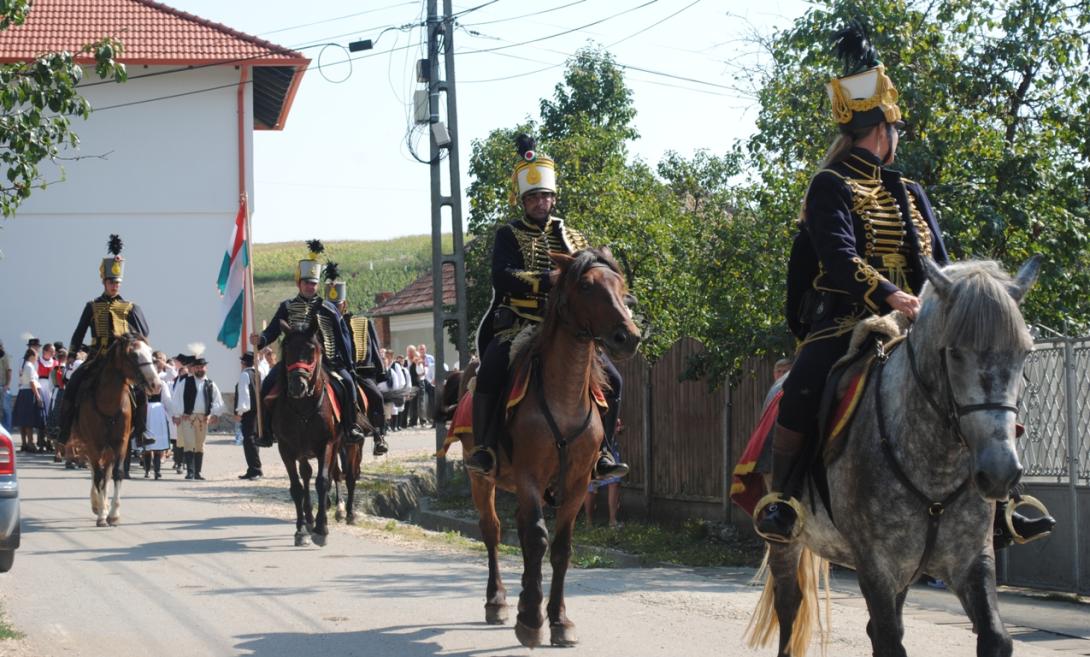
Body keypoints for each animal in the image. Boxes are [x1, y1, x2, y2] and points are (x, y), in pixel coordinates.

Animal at [69, 333, 159, 529]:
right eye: (133, 355)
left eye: (150, 352)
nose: (156, 384)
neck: (108, 402)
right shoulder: (93, 444)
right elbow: (98, 475)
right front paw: (102, 515)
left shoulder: (121, 442)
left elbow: (117, 473)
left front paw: (113, 514)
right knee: (96, 472)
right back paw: (97, 504)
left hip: (109, 448)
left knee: (107, 473)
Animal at [270, 320, 337, 546]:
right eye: (288, 350)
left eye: (311, 351)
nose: (298, 385)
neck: (304, 407)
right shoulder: (286, 449)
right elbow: (297, 488)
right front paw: (300, 530)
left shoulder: (327, 444)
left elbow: (322, 482)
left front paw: (322, 528)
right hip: (302, 452)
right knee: (305, 475)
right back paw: (308, 520)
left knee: (324, 476)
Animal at [451, 250, 636, 649]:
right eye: (587, 285)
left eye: (620, 285)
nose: (628, 336)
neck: (564, 395)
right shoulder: (529, 477)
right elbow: (537, 539)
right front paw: (532, 621)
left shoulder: (577, 483)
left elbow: (561, 547)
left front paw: (560, 620)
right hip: (482, 479)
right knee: (492, 530)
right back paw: (498, 601)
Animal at [749, 257, 1037, 657]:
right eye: (954, 352)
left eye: (1024, 353)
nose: (999, 473)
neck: (935, 463)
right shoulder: (876, 566)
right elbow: (887, 638)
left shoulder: (970, 559)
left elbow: (996, 636)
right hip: (786, 540)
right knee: (790, 604)